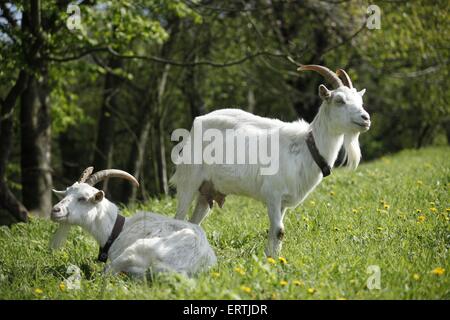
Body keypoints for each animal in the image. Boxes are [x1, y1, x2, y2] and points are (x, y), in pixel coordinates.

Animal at [171, 65, 370, 258]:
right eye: (339, 100)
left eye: (360, 101)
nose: (366, 118)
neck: (306, 146)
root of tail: (196, 123)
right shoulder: (272, 194)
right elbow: (279, 231)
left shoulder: (283, 202)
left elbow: (276, 232)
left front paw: (273, 258)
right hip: (189, 181)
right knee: (178, 219)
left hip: (207, 191)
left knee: (193, 224)